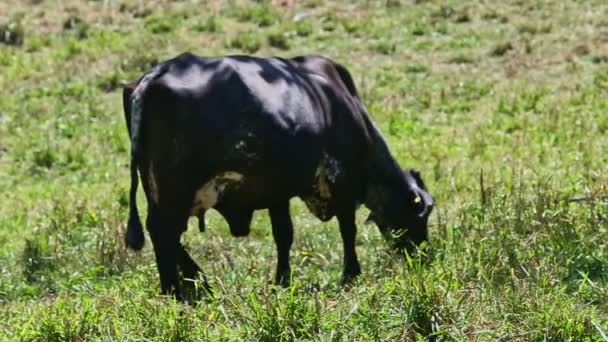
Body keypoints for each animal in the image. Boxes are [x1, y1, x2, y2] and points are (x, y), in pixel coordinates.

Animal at [121, 52, 434, 300]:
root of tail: (152, 78)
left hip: (157, 190)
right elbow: (348, 231)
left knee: (164, 235)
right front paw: (350, 274)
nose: (423, 256)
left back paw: (196, 282)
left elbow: (283, 235)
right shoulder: (342, 182)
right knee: (163, 232)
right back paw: (174, 289)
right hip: (176, 190)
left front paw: (282, 281)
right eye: (420, 214)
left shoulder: (277, 192)